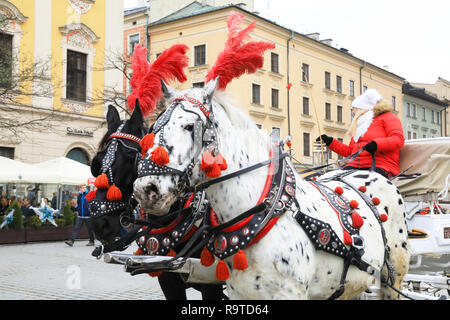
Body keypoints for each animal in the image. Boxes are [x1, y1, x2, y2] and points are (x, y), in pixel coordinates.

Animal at [132, 78, 410, 300]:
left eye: (190, 126)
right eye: (153, 128)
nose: (146, 189)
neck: (264, 210)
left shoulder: (290, 294)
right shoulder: (239, 293)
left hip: (392, 277)